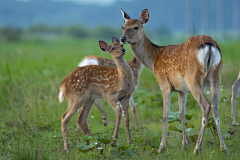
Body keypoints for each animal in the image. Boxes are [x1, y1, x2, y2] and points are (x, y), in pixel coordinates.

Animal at [120, 8, 229, 155]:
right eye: (123, 26)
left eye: (136, 27)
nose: (123, 38)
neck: (154, 60)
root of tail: (210, 46)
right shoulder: (181, 90)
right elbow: (181, 114)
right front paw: (184, 145)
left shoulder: (164, 83)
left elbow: (165, 114)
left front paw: (161, 147)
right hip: (216, 76)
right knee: (215, 107)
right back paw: (223, 148)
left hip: (192, 78)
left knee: (206, 106)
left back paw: (197, 149)